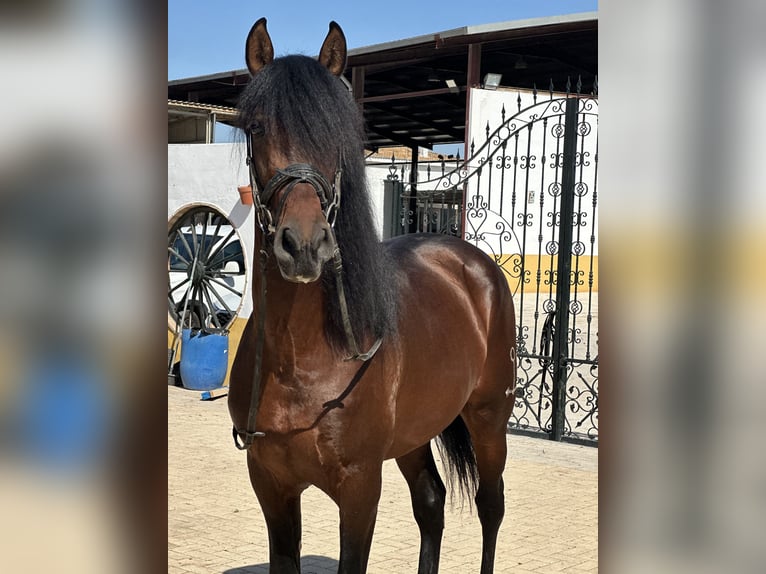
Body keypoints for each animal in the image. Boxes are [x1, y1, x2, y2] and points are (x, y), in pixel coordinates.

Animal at [228, 18, 517, 574]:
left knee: (491, 505)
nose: (304, 246)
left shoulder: (360, 489)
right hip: (415, 435)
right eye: (256, 128)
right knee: (431, 502)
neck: (304, 360)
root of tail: (475, 265)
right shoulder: (271, 487)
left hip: (490, 417)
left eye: (339, 133)